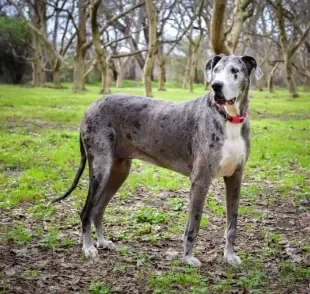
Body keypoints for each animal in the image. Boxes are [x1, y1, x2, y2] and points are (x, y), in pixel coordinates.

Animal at [50, 54, 262, 268]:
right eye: (216, 70)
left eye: (235, 71)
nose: (216, 86)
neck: (229, 118)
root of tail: (91, 106)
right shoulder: (201, 180)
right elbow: (193, 224)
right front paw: (187, 258)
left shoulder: (235, 179)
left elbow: (232, 223)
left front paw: (229, 256)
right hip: (100, 168)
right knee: (86, 211)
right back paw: (88, 248)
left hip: (118, 171)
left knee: (98, 209)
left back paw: (102, 242)